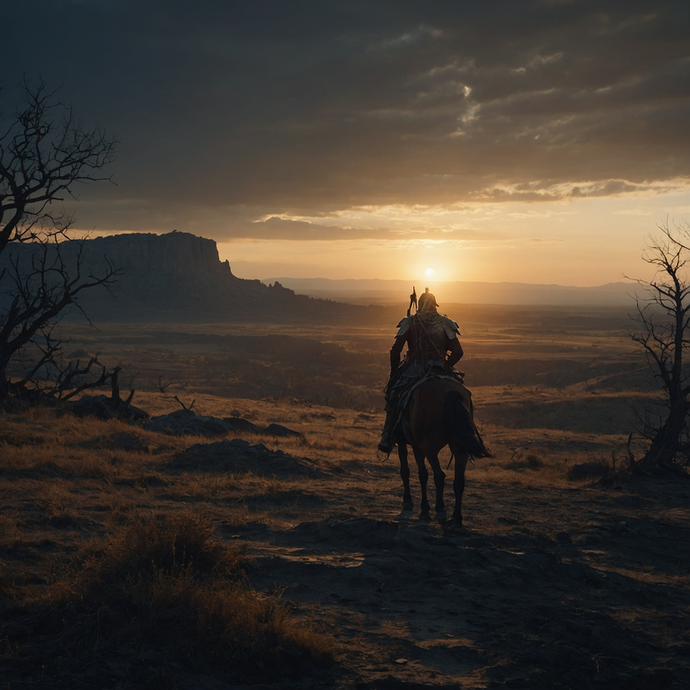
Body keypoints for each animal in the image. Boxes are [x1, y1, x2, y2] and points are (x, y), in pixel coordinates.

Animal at [396, 376, 486, 520]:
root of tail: (451, 392)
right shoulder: (415, 445)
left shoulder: (408, 443)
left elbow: (413, 472)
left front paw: (412, 502)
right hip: (460, 448)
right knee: (459, 480)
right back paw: (456, 516)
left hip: (429, 446)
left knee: (439, 475)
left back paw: (440, 507)